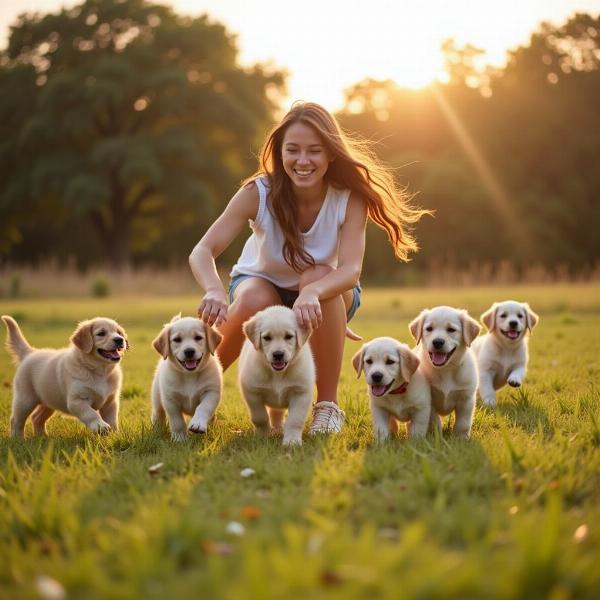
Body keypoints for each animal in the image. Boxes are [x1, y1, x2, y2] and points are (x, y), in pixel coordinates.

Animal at [238, 304, 314, 446]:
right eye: (267, 337)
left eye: (288, 336)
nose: (278, 354)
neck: (277, 374)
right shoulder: (252, 392)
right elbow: (260, 417)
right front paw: (262, 436)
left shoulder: (301, 393)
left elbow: (295, 420)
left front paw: (292, 441)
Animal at [410, 308, 480, 438]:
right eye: (429, 328)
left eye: (451, 329)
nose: (437, 342)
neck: (445, 370)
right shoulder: (429, 400)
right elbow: (434, 420)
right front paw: (436, 436)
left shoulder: (466, 399)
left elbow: (463, 423)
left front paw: (460, 438)